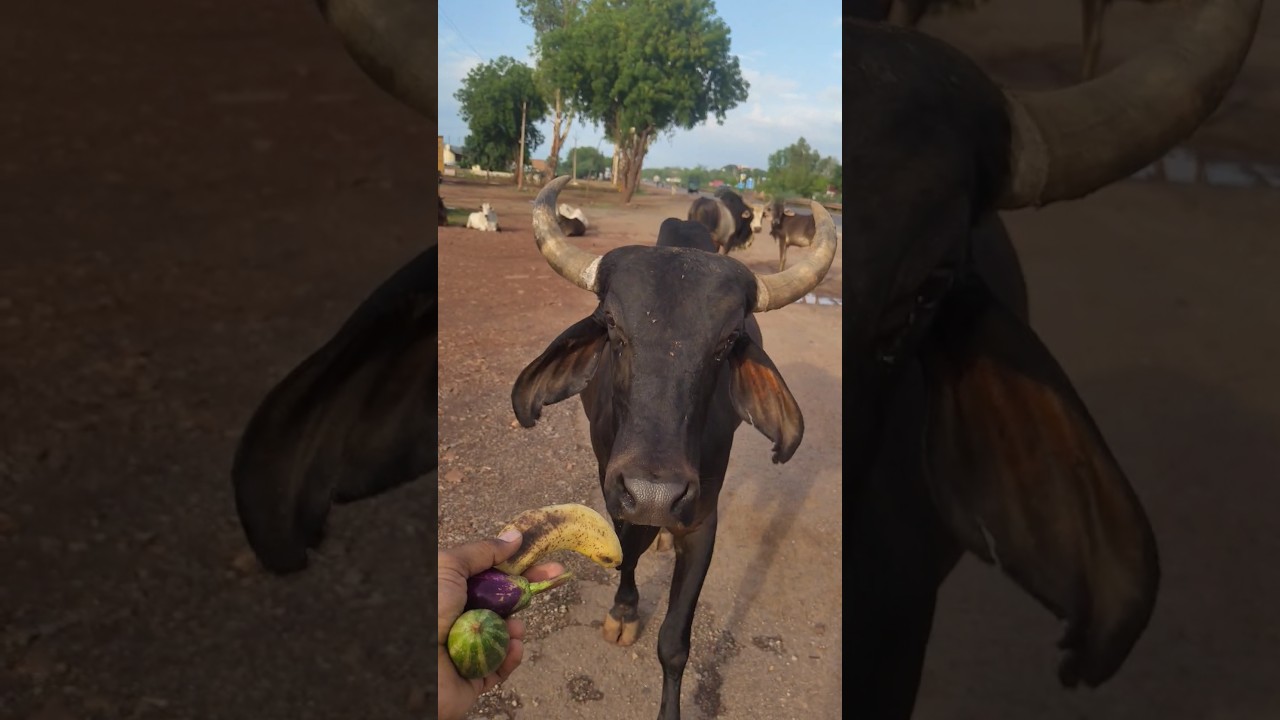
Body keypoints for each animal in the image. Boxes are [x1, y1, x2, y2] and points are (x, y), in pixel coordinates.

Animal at [512, 174, 837, 720]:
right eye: (612, 324)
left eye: (727, 341)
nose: (654, 495)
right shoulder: (614, 492)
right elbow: (626, 551)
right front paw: (623, 612)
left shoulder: (702, 520)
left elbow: (674, 644)